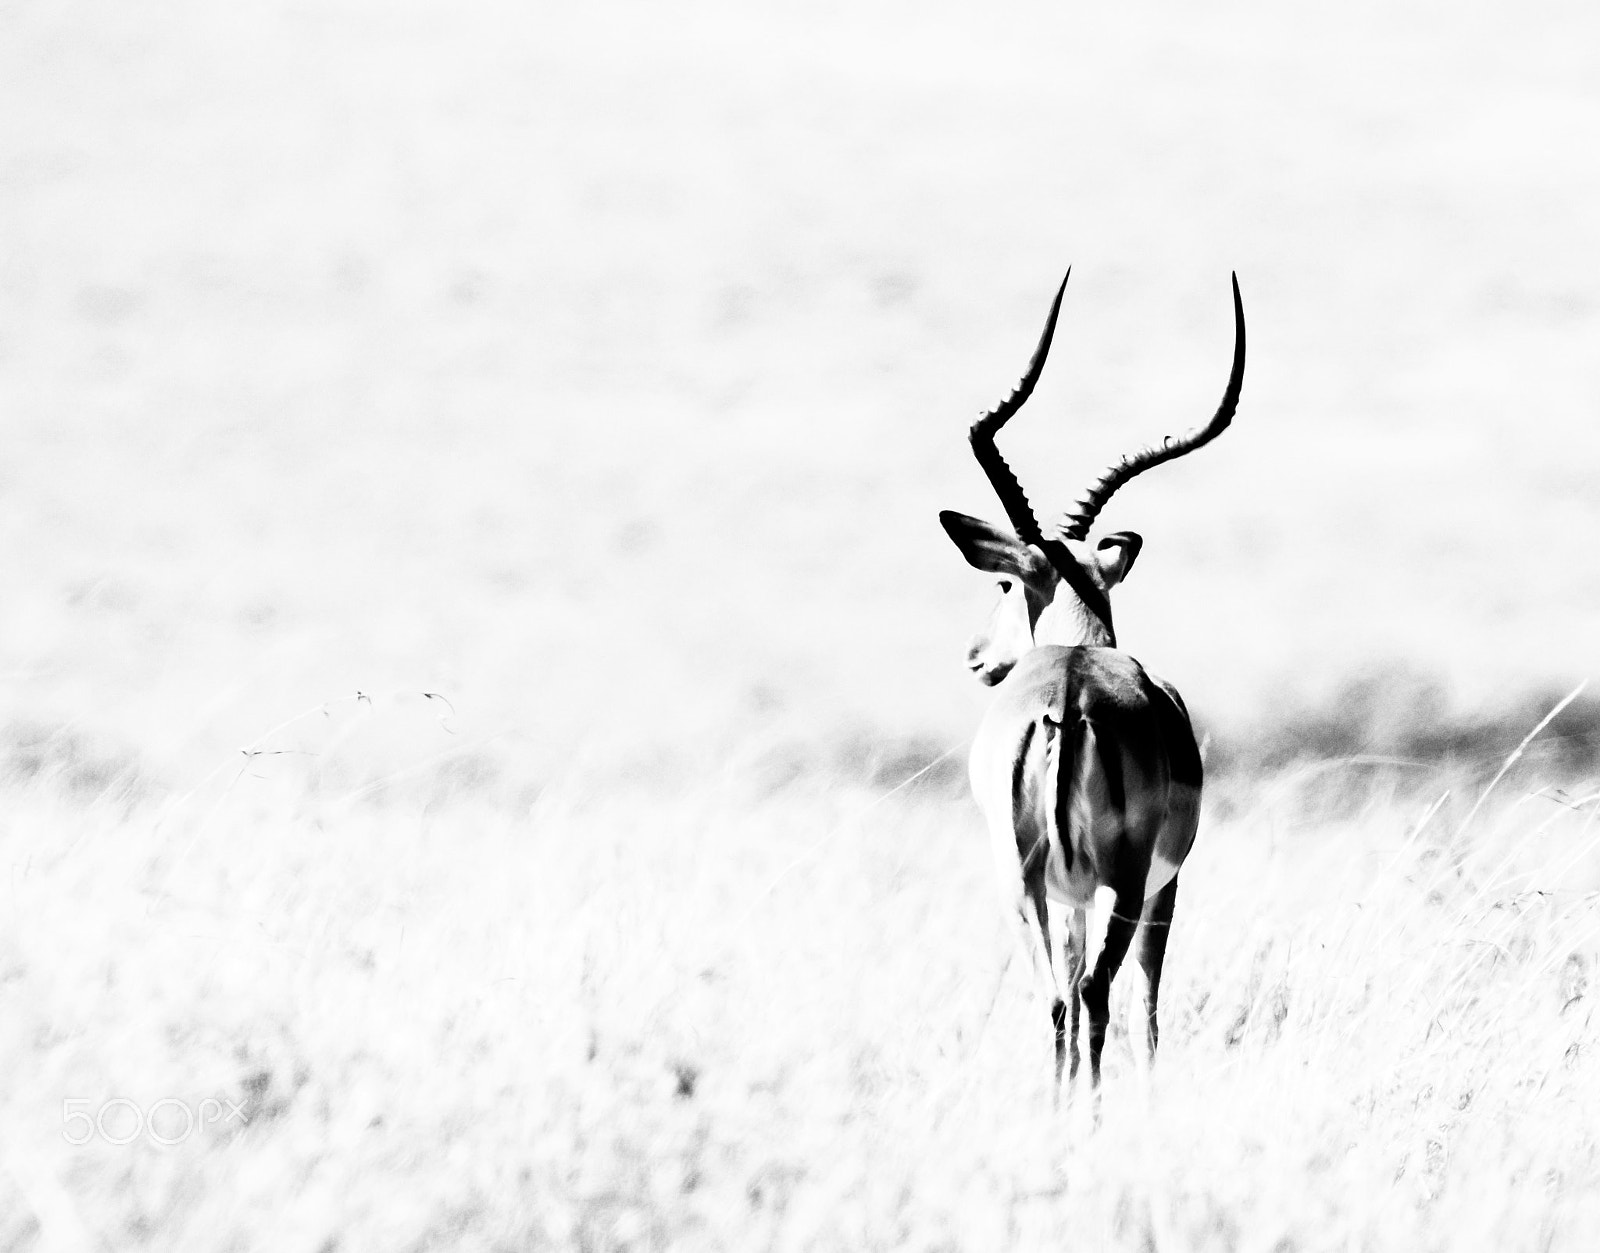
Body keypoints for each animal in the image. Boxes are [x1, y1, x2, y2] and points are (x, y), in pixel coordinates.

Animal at [940, 270, 1245, 1100]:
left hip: (1031, 878)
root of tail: (1067, 700)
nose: (976, 656)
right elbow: (1143, 999)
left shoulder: (1083, 890)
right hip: (1116, 879)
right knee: (1094, 991)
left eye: (1006, 582)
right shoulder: (1156, 884)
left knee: (1062, 995)